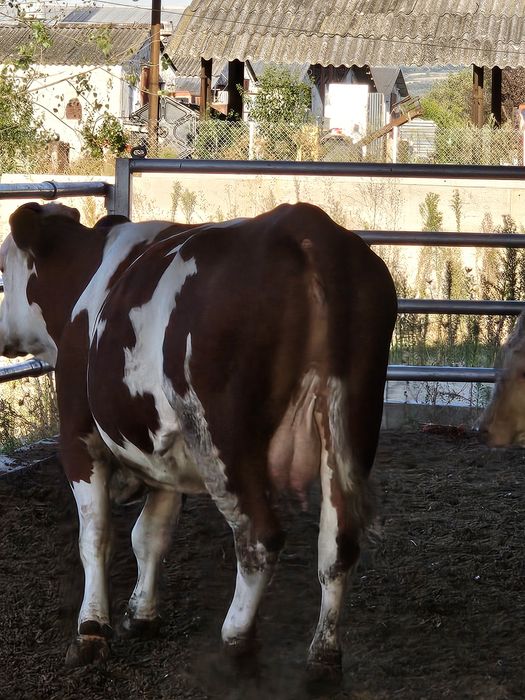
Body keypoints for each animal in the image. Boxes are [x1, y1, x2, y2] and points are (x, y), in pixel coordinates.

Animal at [0, 200, 397, 678]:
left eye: (2, 268)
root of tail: (306, 225)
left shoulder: (78, 436)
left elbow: (96, 536)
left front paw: (92, 630)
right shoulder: (163, 452)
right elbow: (150, 534)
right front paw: (141, 615)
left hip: (227, 442)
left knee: (260, 536)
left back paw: (237, 637)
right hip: (352, 430)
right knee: (339, 545)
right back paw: (323, 655)